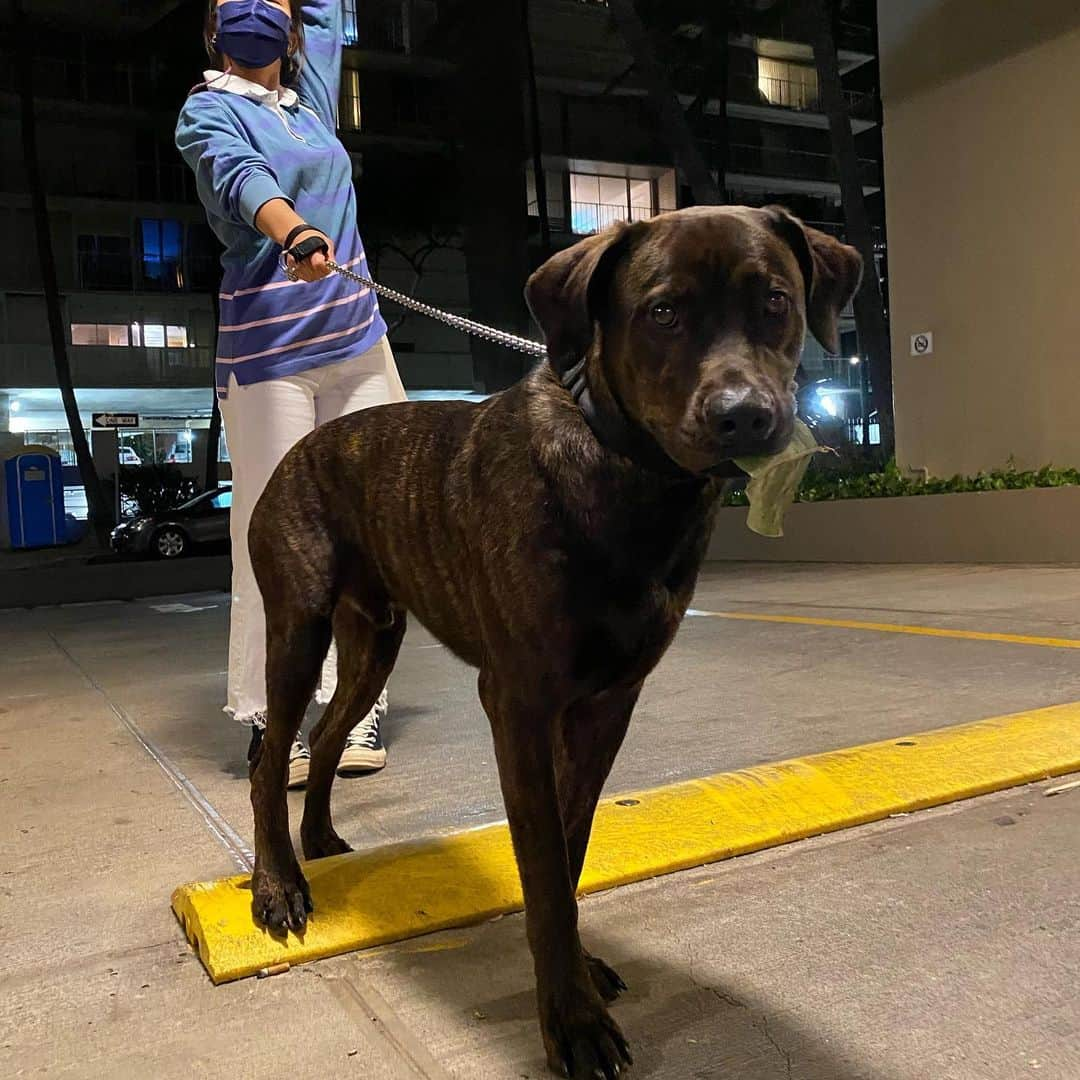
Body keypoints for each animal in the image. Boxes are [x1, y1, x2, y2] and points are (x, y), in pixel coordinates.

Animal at [247, 204, 859, 1080]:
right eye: (662, 312)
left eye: (775, 300)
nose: (743, 414)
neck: (629, 476)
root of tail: (304, 447)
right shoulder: (521, 705)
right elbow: (540, 866)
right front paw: (571, 1020)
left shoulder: (607, 705)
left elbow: (569, 850)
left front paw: (577, 973)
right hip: (298, 630)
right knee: (271, 761)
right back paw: (277, 884)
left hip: (374, 643)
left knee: (329, 736)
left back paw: (320, 837)